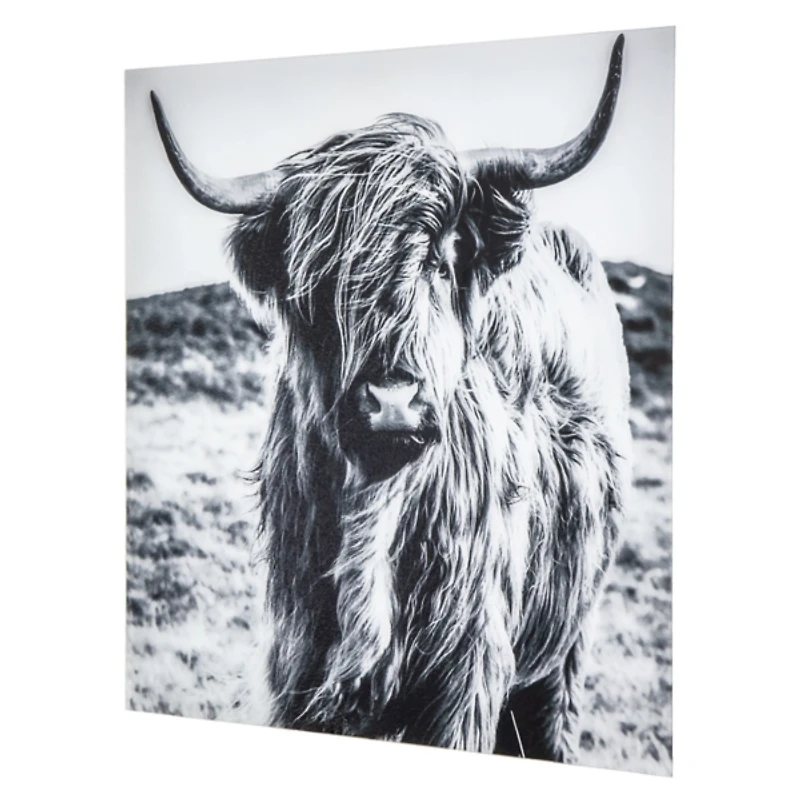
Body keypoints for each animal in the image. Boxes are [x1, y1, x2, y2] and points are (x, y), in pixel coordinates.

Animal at [149, 32, 632, 762]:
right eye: (318, 282)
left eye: (440, 259)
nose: (392, 403)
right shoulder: (296, 665)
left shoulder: (467, 678)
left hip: (567, 642)